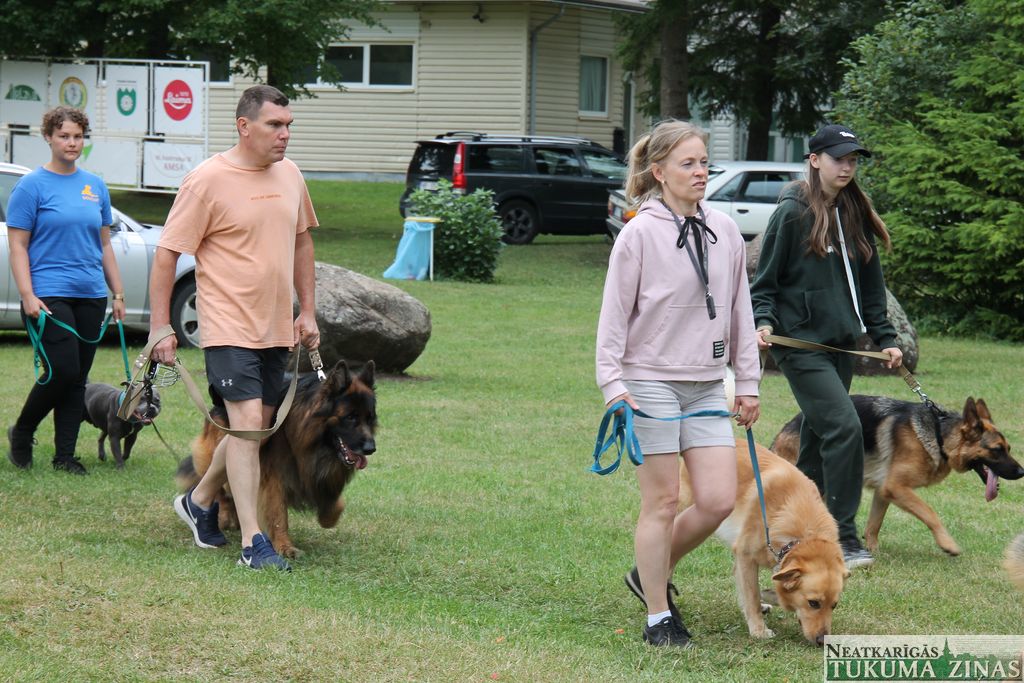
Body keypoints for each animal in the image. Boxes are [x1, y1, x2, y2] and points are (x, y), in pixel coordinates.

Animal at [176, 360, 377, 558]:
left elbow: (336, 503)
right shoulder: (273, 476)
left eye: (369, 418)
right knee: (220, 488)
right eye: (350, 417)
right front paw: (284, 546)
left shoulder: (322, 474)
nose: (371, 448)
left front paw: (326, 516)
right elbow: (278, 514)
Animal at [679, 439, 849, 645]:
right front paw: (758, 629)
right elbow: (752, 594)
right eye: (813, 603)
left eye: (834, 605)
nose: (823, 641)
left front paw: (767, 599)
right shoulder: (745, 556)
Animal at [772, 396, 1023, 557]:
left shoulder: (883, 491)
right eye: (997, 449)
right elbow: (930, 513)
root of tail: (784, 430)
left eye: (1009, 448)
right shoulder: (896, 487)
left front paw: (873, 550)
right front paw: (947, 544)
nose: (1022, 472)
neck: (940, 436)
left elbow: (874, 525)